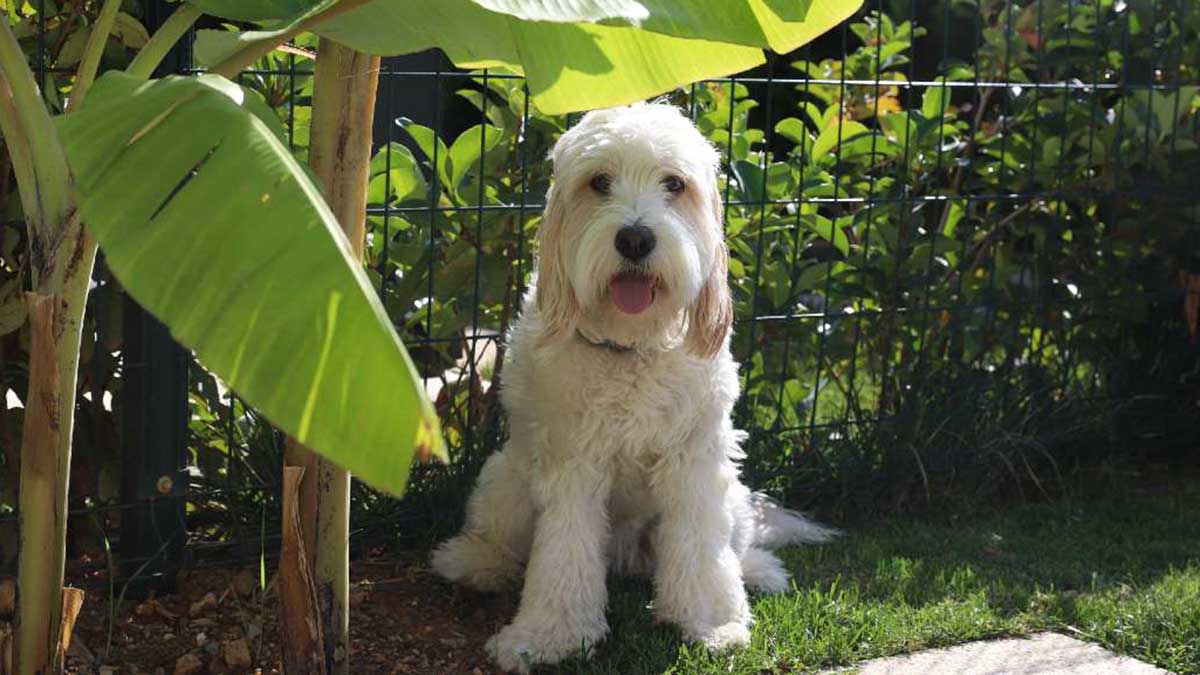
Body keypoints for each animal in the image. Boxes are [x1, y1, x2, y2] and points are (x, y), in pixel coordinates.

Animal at [429, 99, 835, 667]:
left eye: (674, 184)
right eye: (599, 182)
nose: (636, 238)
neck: (630, 347)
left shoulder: (694, 462)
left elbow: (702, 549)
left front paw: (710, 621)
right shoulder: (571, 463)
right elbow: (563, 553)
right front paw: (548, 636)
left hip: (731, 497)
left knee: (733, 545)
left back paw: (758, 571)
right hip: (502, 480)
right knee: (499, 538)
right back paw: (474, 561)